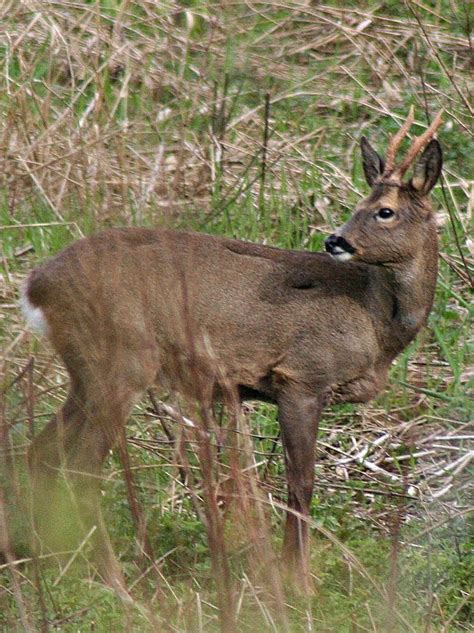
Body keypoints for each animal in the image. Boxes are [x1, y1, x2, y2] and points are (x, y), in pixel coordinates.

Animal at [21, 110, 444, 592]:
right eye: (361, 205)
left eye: (384, 211)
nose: (335, 241)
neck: (375, 321)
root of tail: (36, 286)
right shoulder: (301, 376)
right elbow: (301, 483)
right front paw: (298, 583)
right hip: (122, 361)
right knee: (83, 469)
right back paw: (117, 584)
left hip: (87, 371)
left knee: (41, 452)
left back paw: (41, 562)